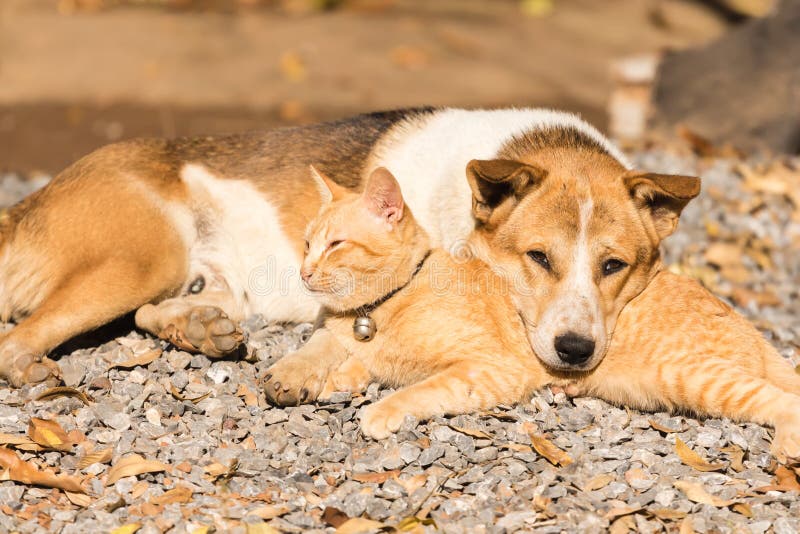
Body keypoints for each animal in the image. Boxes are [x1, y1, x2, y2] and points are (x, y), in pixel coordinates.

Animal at [0, 107, 692, 390]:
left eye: (614, 266)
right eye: (538, 258)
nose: (575, 351)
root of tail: (28, 202)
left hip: (199, 279)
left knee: (159, 311)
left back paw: (199, 329)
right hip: (144, 257)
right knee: (18, 338)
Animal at [268, 169, 800, 464]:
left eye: (335, 245)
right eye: (307, 243)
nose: (303, 269)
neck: (378, 308)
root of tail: (751, 326)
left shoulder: (490, 369)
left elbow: (421, 388)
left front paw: (378, 409)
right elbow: (349, 361)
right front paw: (336, 378)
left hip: (696, 377)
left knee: (781, 399)